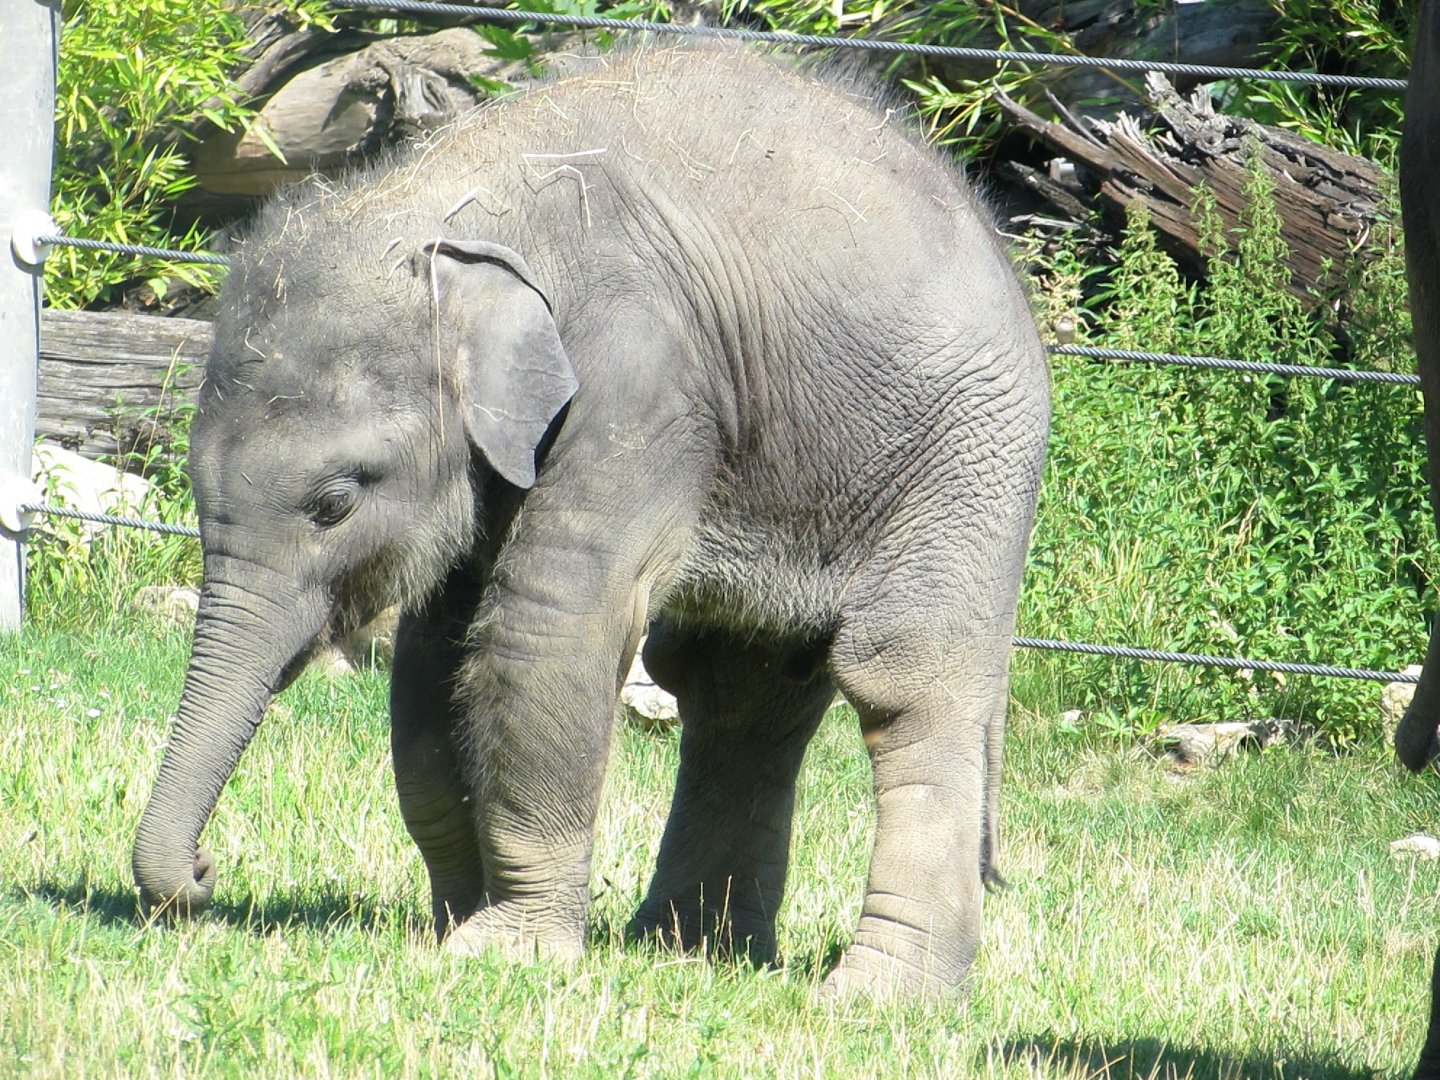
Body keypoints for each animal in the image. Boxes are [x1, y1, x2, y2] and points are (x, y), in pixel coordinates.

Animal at [129, 42, 1051, 999]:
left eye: (337, 503)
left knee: (905, 681)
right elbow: (435, 652)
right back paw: (692, 951)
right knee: (739, 689)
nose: (204, 876)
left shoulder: (636, 377)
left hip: (964, 463)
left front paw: (505, 953)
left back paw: (876, 997)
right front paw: (459, 923)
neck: (448, 202)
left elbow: (546, 624)